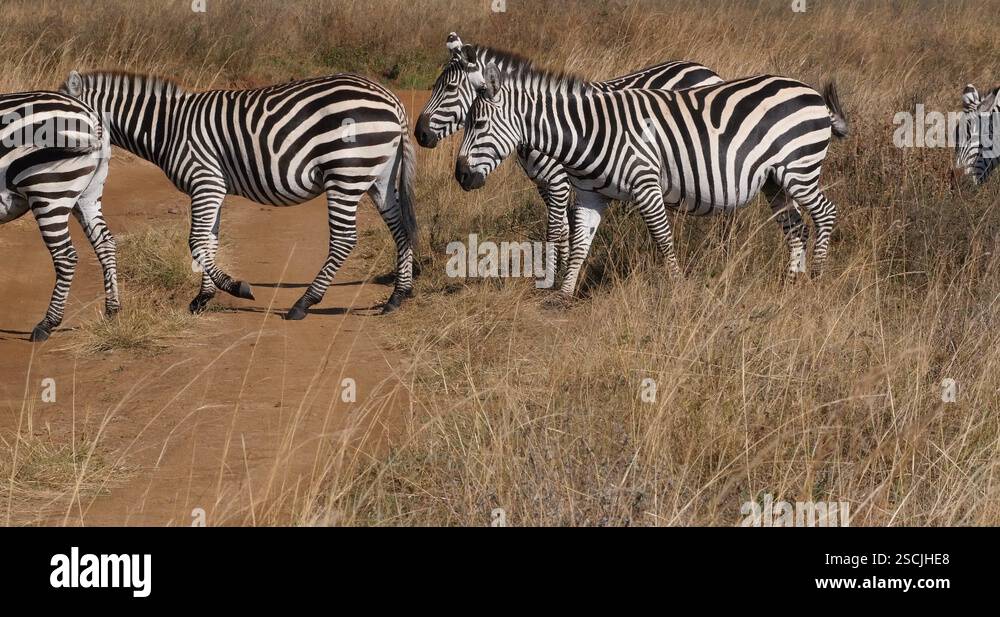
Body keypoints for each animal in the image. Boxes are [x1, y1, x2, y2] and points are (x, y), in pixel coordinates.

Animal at [0, 91, 118, 342]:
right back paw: (113, 310)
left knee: (66, 256)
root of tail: (91, 117)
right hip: (88, 194)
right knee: (106, 243)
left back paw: (47, 324)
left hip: (48, 190)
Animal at [60, 71, 417, 319]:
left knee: (344, 240)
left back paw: (304, 303)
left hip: (346, 172)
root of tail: (391, 100)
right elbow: (209, 240)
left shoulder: (205, 181)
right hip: (378, 175)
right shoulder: (212, 186)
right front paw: (202, 298)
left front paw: (236, 287)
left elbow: (196, 241)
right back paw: (398, 296)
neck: (168, 128)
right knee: (400, 228)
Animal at [414, 33, 721, 271]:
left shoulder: (559, 182)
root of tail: (705, 69)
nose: (420, 134)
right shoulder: (543, 183)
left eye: (450, 87)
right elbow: (562, 228)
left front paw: (552, 273)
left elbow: (554, 229)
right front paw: (562, 267)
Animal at [454, 53, 848, 296]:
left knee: (826, 213)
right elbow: (580, 244)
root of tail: (812, 94)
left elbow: (663, 239)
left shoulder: (646, 184)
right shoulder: (590, 195)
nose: (460, 177)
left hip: (800, 168)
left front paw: (677, 288)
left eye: (479, 124)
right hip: (775, 182)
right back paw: (793, 282)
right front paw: (563, 295)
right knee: (796, 228)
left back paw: (817, 276)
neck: (589, 131)